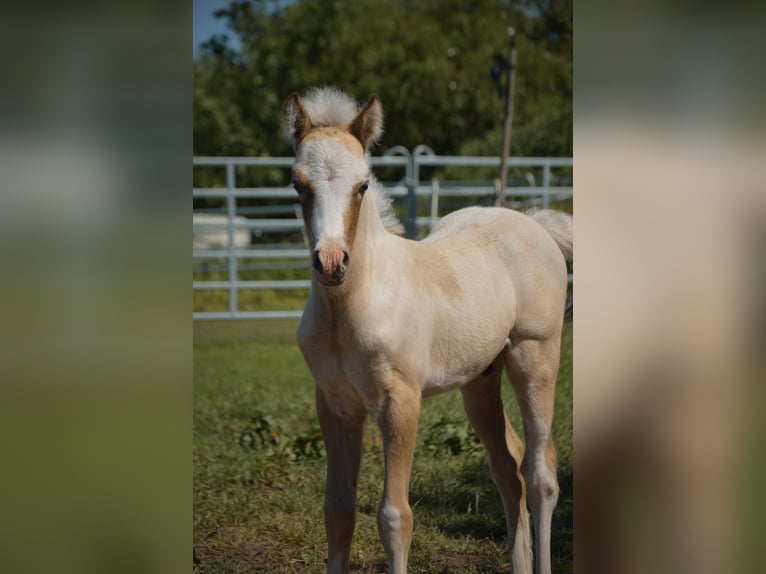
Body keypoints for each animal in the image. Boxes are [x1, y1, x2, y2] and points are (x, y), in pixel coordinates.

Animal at [283, 87, 572, 574]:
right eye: (298, 184)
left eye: (363, 185)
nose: (331, 263)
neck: (349, 308)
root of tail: (534, 224)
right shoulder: (336, 405)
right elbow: (337, 511)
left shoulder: (400, 402)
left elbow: (395, 516)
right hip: (479, 381)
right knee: (508, 469)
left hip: (535, 356)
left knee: (540, 475)